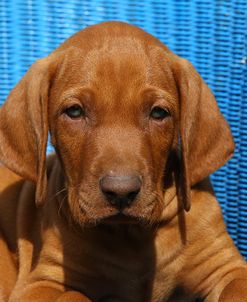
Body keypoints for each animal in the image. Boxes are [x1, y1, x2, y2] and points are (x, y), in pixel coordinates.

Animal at [0, 21, 247, 302]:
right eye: (74, 111)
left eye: (158, 113)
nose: (120, 192)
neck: (131, 236)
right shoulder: (40, 284)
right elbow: (75, 296)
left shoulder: (226, 265)